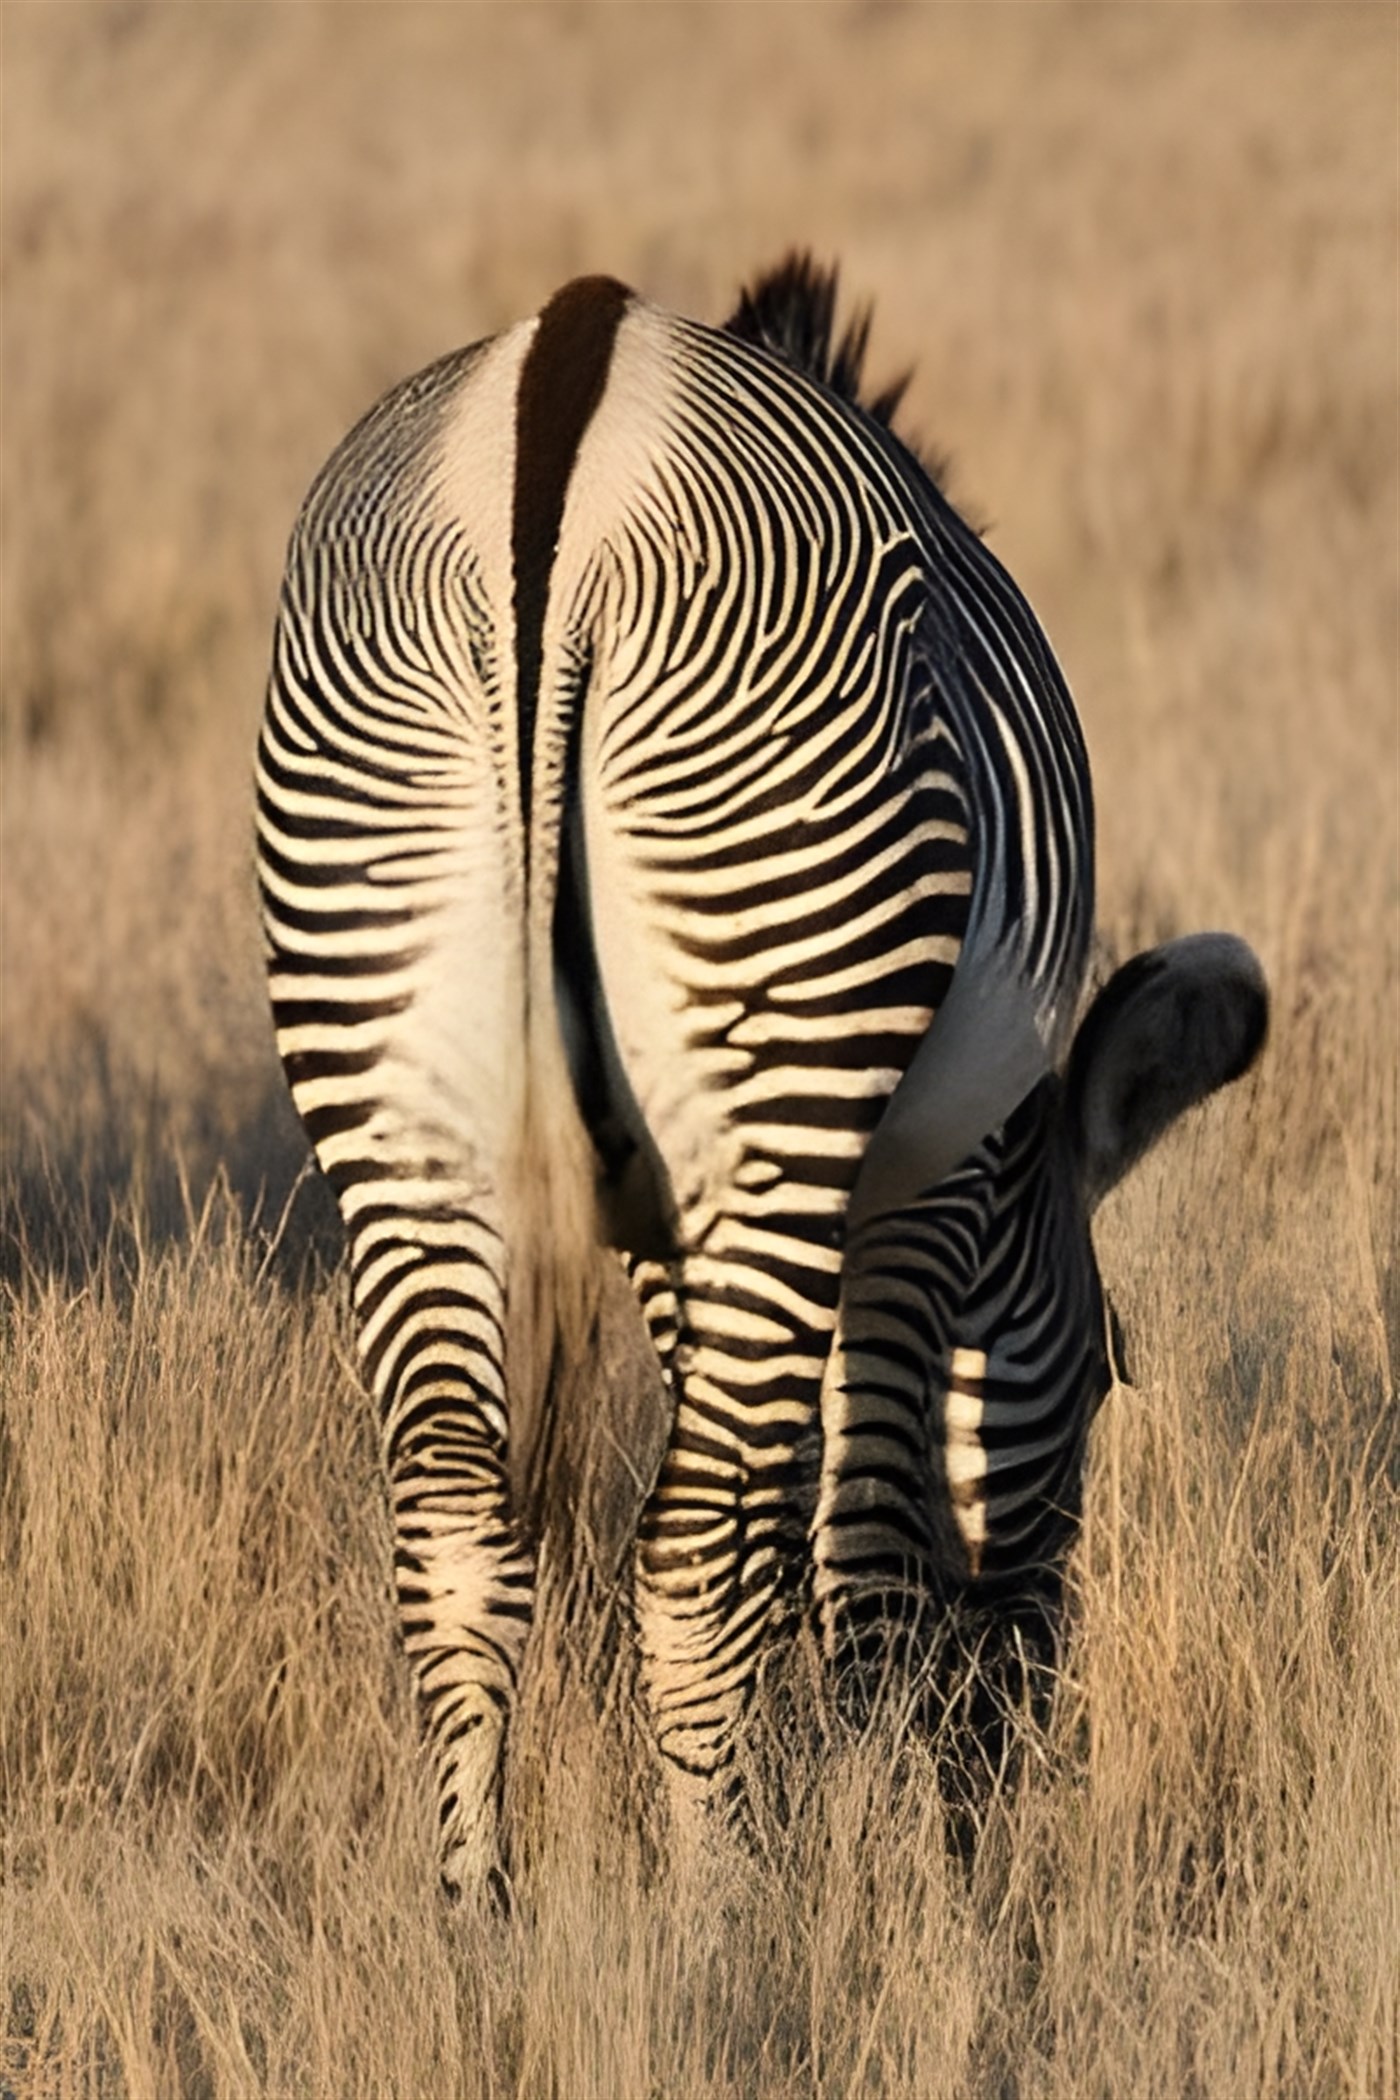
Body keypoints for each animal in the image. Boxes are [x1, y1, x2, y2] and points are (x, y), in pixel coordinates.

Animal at [256, 256, 1267, 1894]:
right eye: (1107, 1371)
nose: (1011, 1758)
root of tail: (568, 387)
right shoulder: (929, 1185)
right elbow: (861, 1551)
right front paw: (888, 1862)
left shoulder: (663, 1202)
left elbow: (797, 1501)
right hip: (782, 1038)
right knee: (695, 1553)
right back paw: (730, 1915)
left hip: (393, 1071)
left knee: (455, 1526)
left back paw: (477, 1912)